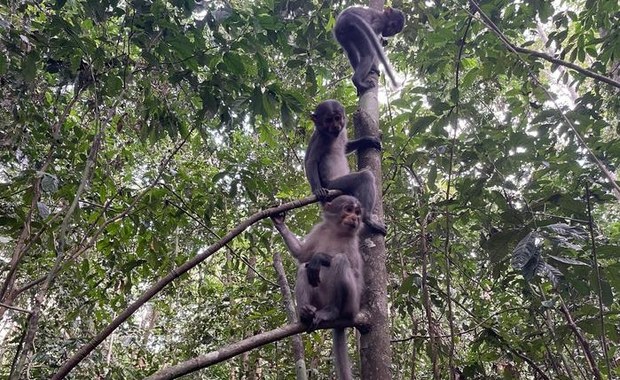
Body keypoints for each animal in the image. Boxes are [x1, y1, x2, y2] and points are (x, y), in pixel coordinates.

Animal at [270, 196, 364, 380]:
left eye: (357, 212)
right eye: (349, 210)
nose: (355, 218)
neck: (337, 232)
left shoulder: (353, 241)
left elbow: (356, 273)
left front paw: (319, 258)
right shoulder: (320, 229)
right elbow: (302, 255)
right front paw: (279, 223)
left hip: (351, 305)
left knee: (340, 260)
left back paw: (332, 311)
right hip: (319, 301)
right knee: (303, 268)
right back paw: (305, 314)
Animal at [306, 98, 386, 235]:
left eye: (337, 118)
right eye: (328, 120)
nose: (336, 126)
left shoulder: (342, 132)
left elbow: (346, 146)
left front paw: (368, 140)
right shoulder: (321, 138)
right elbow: (311, 161)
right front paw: (317, 189)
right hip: (333, 185)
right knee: (365, 177)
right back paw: (367, 219)